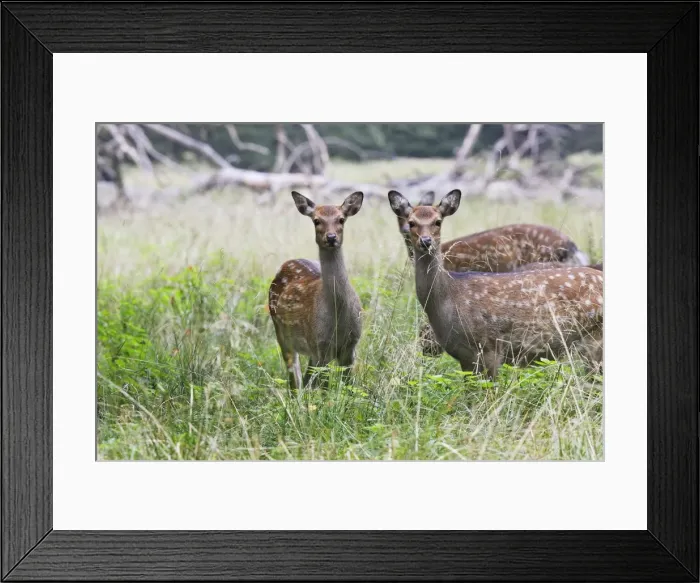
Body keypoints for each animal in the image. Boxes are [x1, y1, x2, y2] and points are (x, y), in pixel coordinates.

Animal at [268, 191, 364, 390]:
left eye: (341, 219)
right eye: (316, 220)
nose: (331, 237)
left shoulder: (350, 347)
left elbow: (349, 388)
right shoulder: (320, 345)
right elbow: (325, 389)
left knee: (305, 380)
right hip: (281, 332)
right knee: (295, 381)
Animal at [388, 189, 603, 380]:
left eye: (438, 221)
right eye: (411, 222)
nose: (426, 241)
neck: (450, 296)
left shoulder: (491, 348)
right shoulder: (464, 357)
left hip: (594, 340)